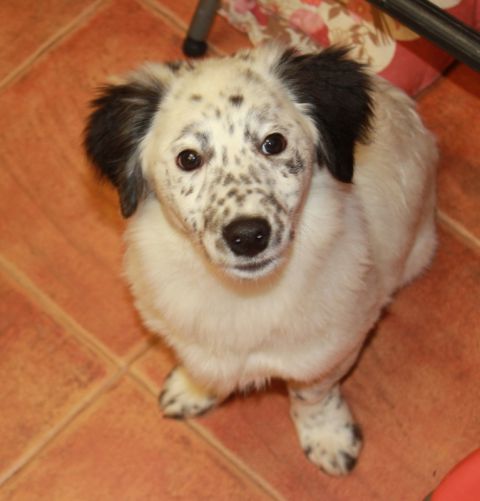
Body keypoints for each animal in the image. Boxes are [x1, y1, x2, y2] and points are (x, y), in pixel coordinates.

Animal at [84, 44, 437, 475]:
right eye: (188, 158)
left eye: (274, 143)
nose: (249, 236)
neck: (243, 295)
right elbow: (201, 365)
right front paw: (192, 390)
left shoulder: (333, 350)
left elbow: (313, 395)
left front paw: (328, 437)